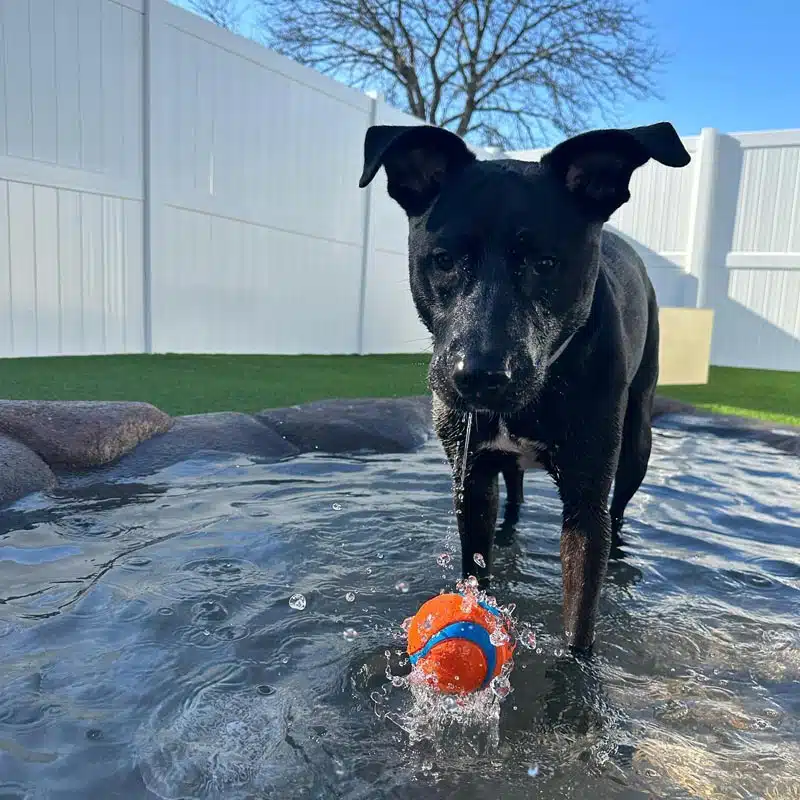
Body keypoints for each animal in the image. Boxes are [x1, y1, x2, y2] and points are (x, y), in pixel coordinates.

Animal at [360, 120, 692, 656]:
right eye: (443, 258)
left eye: (546, 263)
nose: (477, 376)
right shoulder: (471, 476)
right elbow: (475, 573)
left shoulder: (586, 501)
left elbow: (579, 621)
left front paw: (575, 673)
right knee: (513, 498)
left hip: (638, 440)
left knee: (621, 509)